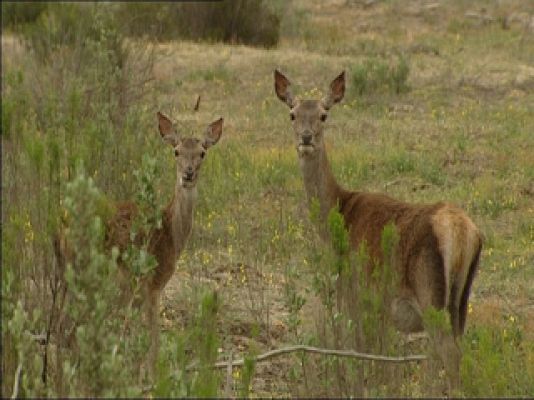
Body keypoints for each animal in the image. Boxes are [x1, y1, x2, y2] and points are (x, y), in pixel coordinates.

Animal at [274, 69, 484, 388]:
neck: (340, 212)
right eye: (292, 114)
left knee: (448, 352)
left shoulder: (355, 290)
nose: (306, 137)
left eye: (324, 115)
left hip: (430, 291)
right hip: (460, 301)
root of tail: (463, 231)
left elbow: (362, 349)